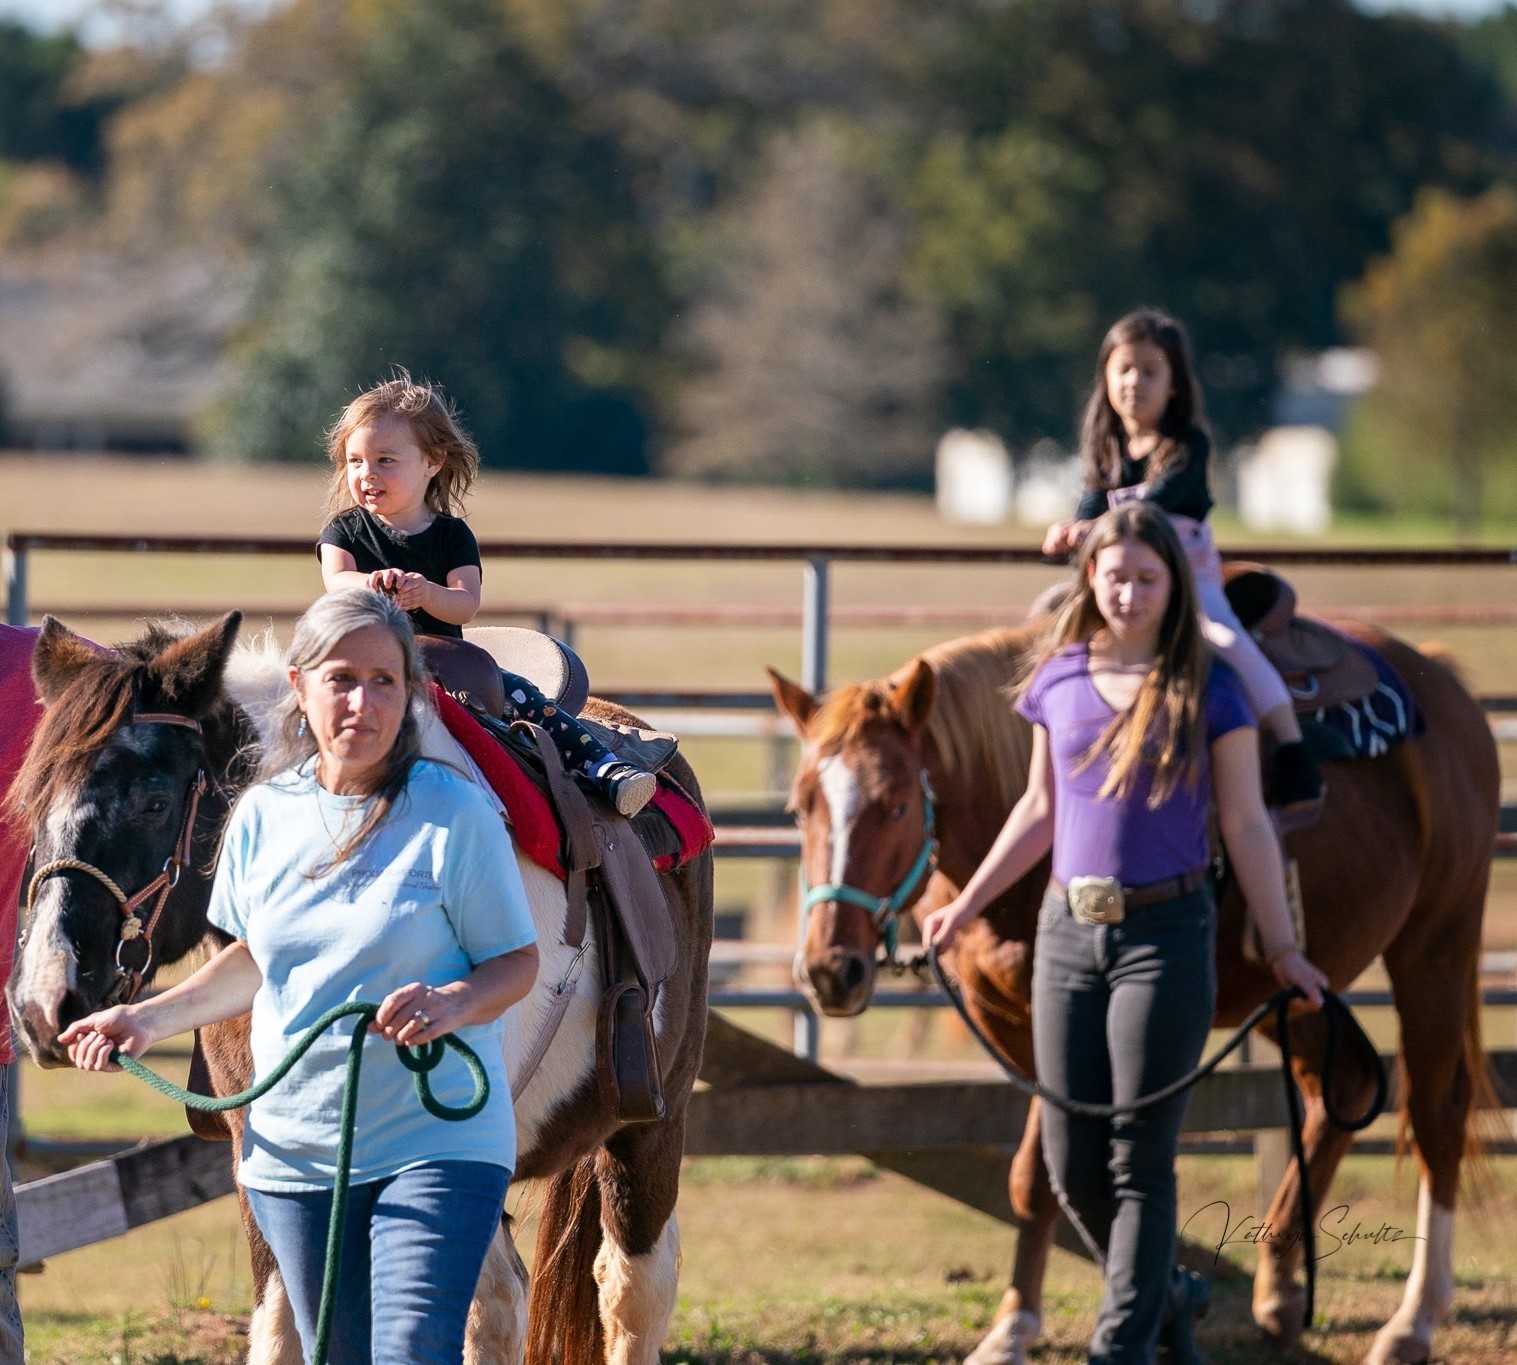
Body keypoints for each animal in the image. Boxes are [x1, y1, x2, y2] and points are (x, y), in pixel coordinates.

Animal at [5, 618, 716, 1365]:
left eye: (153, 801)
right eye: (35, 803)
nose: (44, 1003)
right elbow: (291, 1324)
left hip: (650, 1127)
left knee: (629, 1292)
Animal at [776, 624, 1498, 1365]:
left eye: (895, 804)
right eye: (800, 807)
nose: (830, 970)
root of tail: (1439, 678)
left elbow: (1063, 1170)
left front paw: (1026, 1325)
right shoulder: (1014, 1023)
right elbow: (1049, 1174)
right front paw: (1055, 1315)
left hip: (1435, 946)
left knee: (1436, 1111)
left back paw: (1413, 1320)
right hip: (1292, 989)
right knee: (1344, 1084)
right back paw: (1278, 1290)